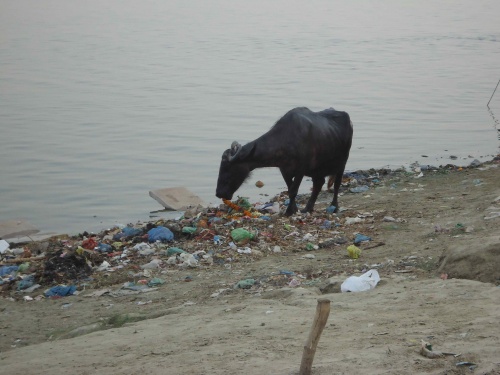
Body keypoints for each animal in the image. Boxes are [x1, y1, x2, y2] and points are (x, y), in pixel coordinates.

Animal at [217, 107, 354, 216]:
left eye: (228, 168)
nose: (219, 193)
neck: (285, 140)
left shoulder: (300, 170)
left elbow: (293, 190)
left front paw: (289, 211)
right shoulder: (285, 170)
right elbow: (290, 189)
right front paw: (294, 209)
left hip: (342, 163)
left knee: (336, 184)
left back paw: (334, 206)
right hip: (317, 170)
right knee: (318, 184)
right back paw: (308, 208)